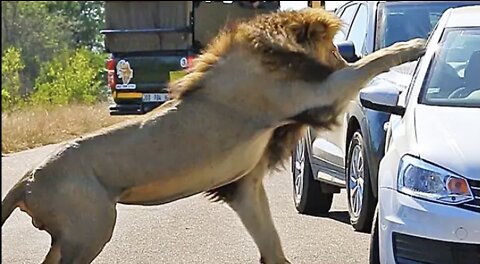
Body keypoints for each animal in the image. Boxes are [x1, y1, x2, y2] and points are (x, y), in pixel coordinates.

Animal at [0, 7, 424, 262]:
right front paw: (413, 45)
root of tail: (26, 180)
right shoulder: (317, 94)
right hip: (91, 227)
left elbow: (271, 243)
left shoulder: (244, 185)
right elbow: (370, 64)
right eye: (334, 48)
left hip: (74, 234)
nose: (345, 54)